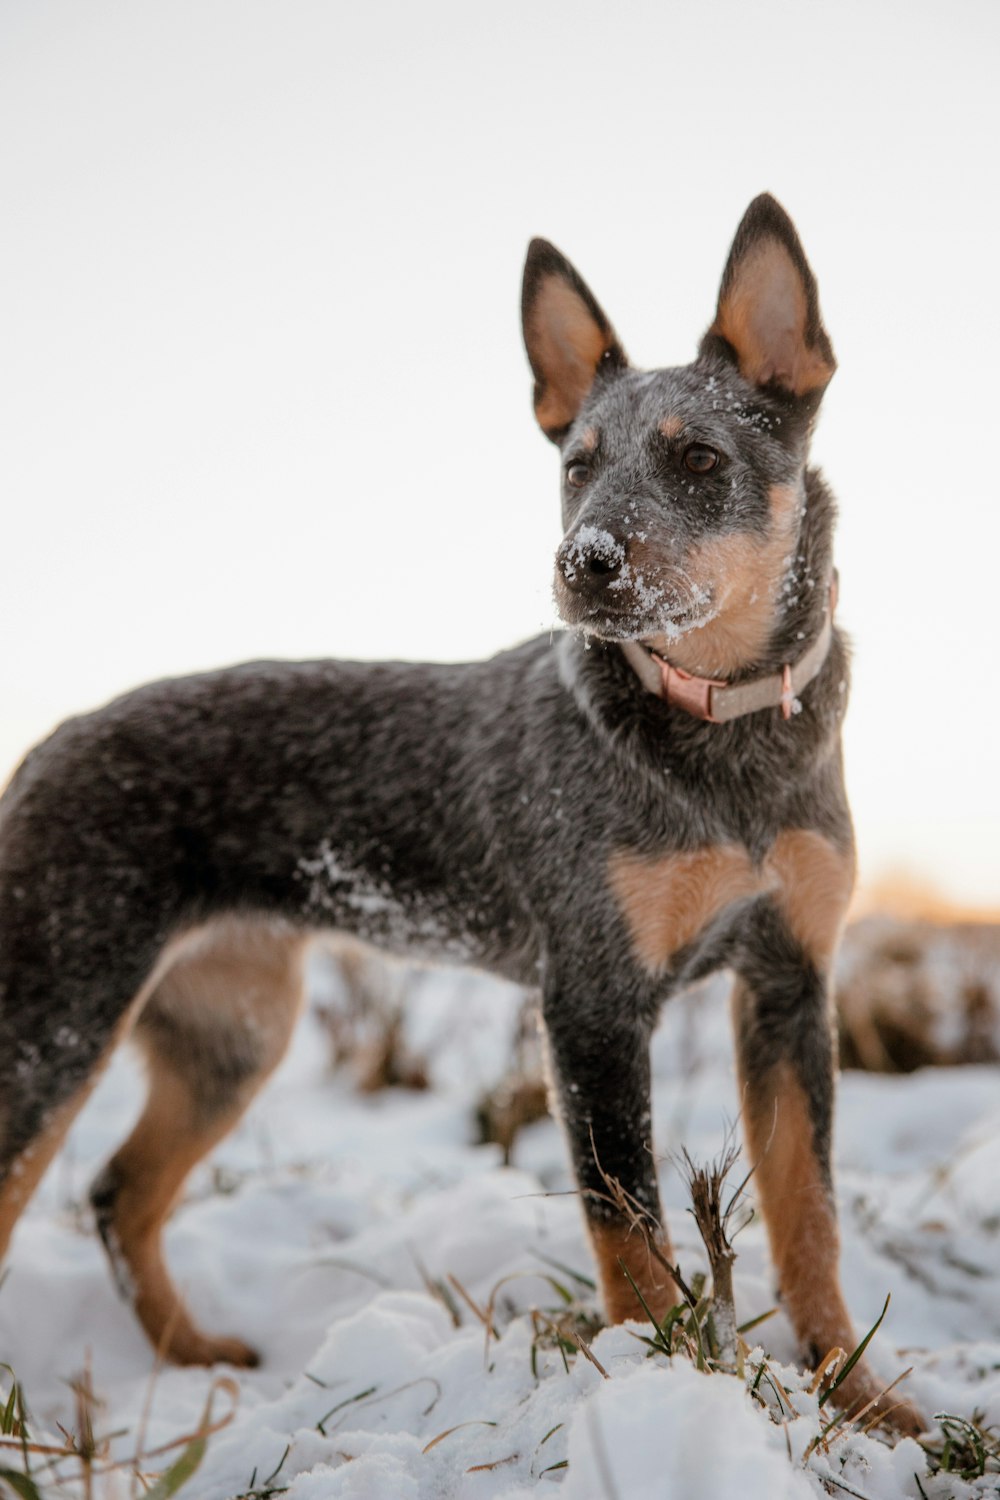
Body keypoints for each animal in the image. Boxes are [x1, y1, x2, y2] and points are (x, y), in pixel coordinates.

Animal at [0, 196, 917, 1428]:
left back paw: (194, 1356)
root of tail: (47, 744)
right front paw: (655, 1380)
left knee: (117, 1192)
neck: (726, 748)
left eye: (697, 456)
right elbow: (630, 1233)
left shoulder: (788, 986)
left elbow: (806, 1214)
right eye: (576, 468)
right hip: (60, 1015)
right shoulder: (589, 1001)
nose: (585, 561)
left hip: (232, 1030)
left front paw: (857, 1397)